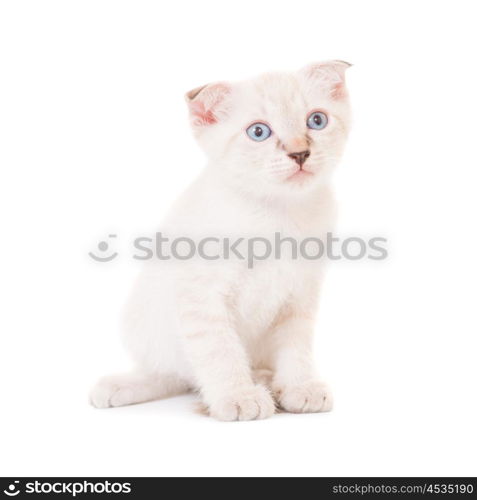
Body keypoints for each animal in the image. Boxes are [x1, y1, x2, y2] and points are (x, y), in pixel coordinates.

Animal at [90, 62, 350, 422]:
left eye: (317, 121)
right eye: (259, 132)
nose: (300, 153)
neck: (277, 213)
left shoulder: (300, 296)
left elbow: (295, 348)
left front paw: (300, 387)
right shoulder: (202, 297)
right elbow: (220, 351)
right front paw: (237, 396)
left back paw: (267, 380)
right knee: (173, 373)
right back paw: (119, 387)